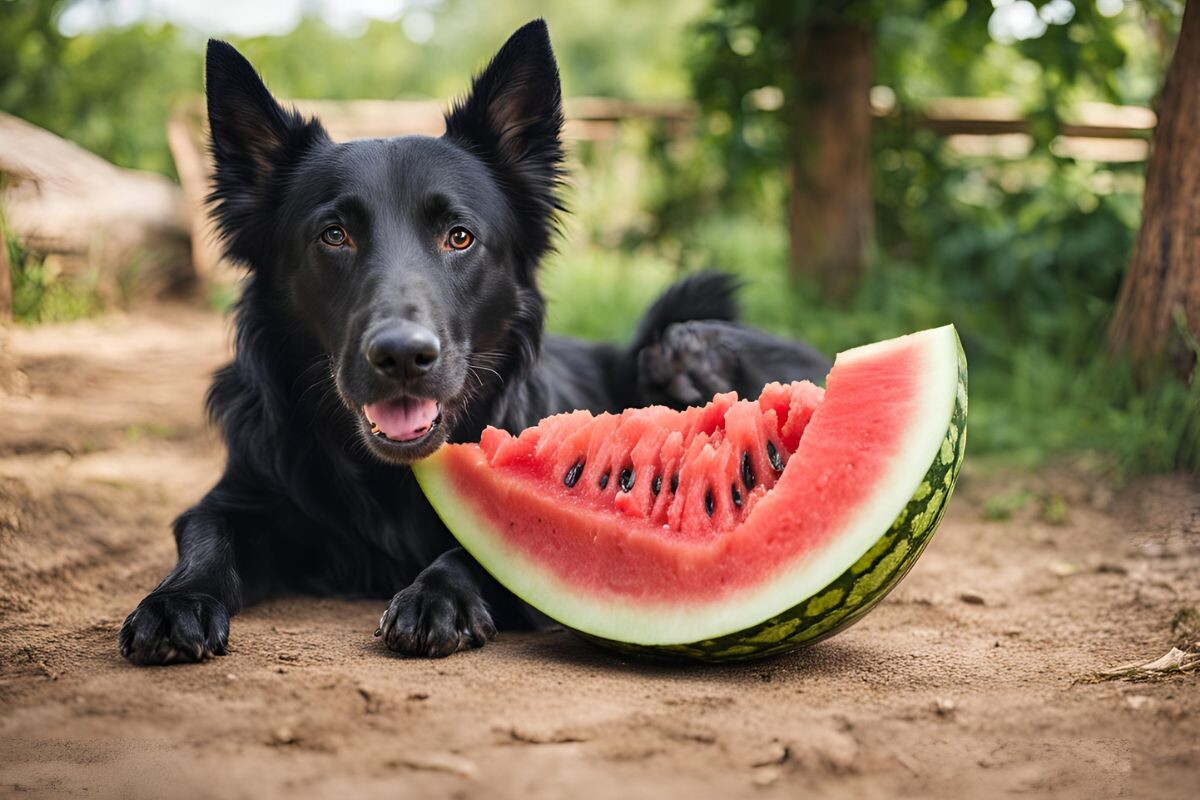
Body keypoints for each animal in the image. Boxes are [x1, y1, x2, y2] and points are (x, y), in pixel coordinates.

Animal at [121, 21, 835, 666]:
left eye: (458, 236)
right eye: (333, 235)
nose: (402, 356)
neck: (387, 480)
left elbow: (482, 546)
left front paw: (436, 594)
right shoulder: (238, 498)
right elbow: (207, 537)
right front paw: (175, 601)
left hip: (676, 334)